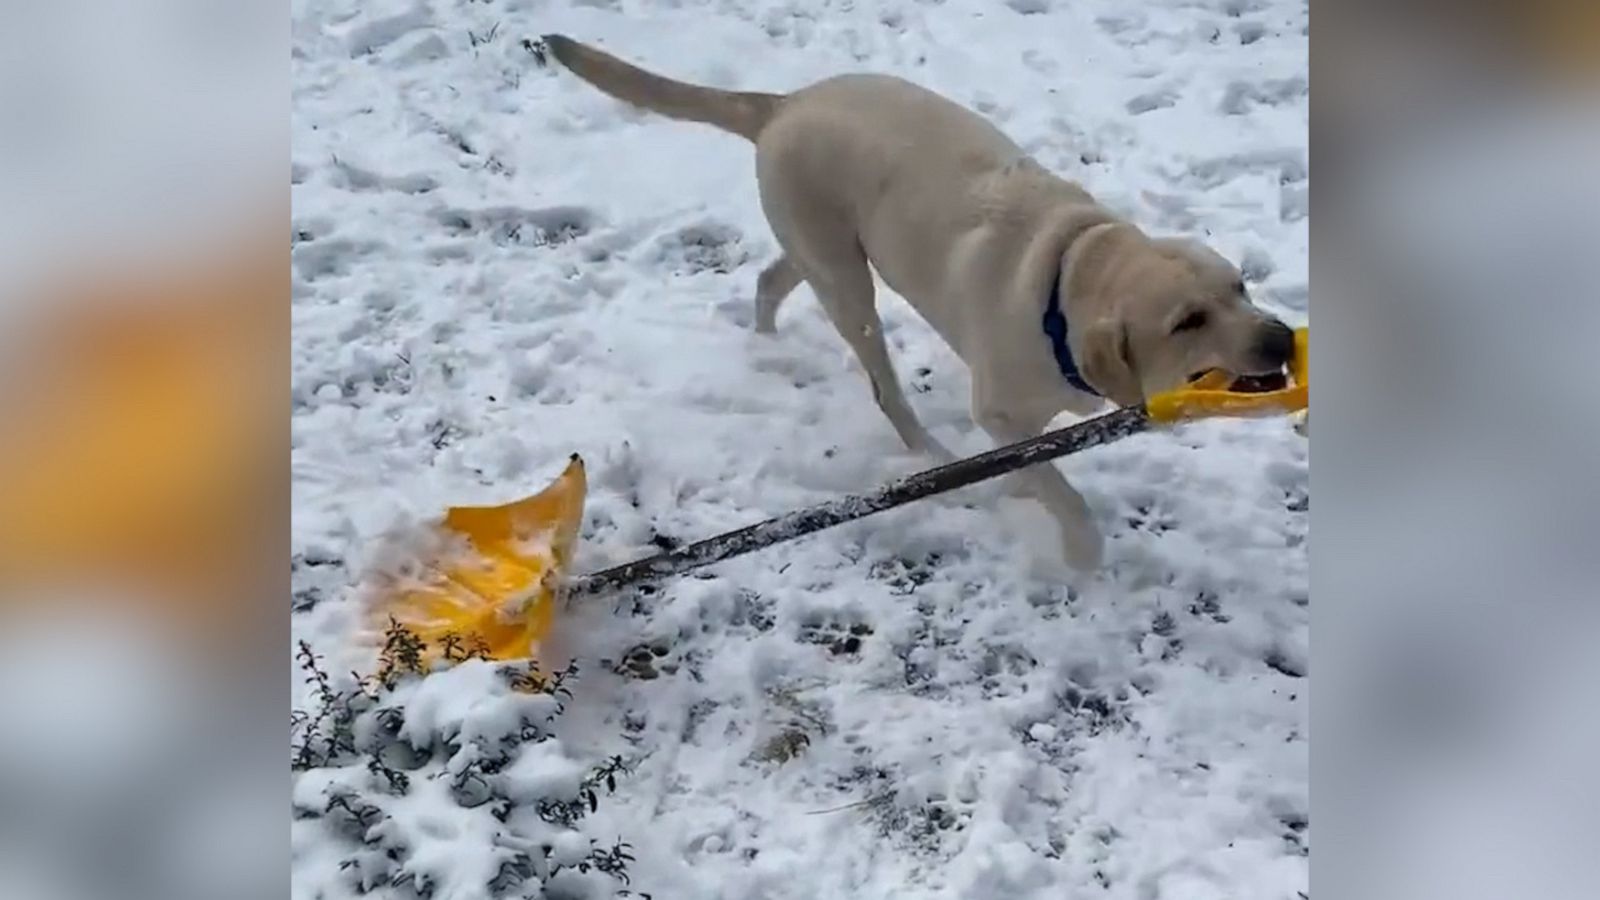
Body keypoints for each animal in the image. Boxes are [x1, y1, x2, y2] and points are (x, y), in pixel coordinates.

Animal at [544, 36, 1292, 566]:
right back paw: (925, 445)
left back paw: (768, 342)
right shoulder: (998, 414)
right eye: (1188, 320)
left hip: (826, 252)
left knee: (771, 279)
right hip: (849, 285)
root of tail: (784, 103)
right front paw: (1079, 550)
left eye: (1240, 286)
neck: (1069, 276)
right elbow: (1056, 486)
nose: (1283, 338)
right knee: (884, 387)